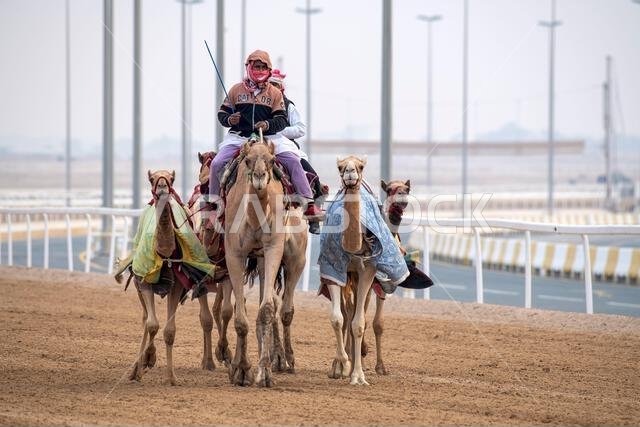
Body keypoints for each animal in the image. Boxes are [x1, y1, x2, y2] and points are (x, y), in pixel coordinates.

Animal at [117, 169, 215, 385]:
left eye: (171, 179)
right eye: (152, 179)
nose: (162, 187)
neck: (164, 254)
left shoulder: (177, 286)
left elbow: (169, 331)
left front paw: (171, 377)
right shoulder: (144, 282)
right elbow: (152, 324)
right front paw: (146, 361)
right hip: (137, 284)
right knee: (145, 319)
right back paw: (136, 368)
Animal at [221, 134, 308, 387]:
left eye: (271, 160)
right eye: (248, 160)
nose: (260, 177)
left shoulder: (273, 249)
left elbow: (267, 309)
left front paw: (264, 372)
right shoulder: (234, 254)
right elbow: (240, 317)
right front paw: (241, 370)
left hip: (296, 259)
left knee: (285, 308)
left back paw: (286, 359)